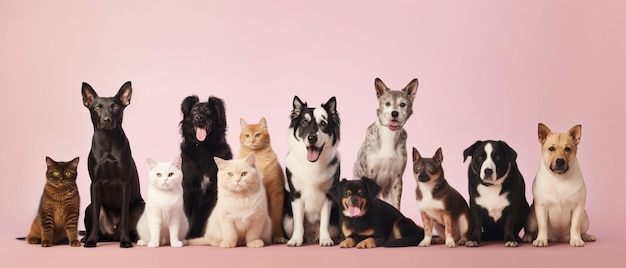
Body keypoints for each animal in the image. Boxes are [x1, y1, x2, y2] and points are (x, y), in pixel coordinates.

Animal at [79, 81, 144, 247]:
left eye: (115, 107)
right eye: (97, 108)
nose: (106, 120)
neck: (107, 141)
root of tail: (112, 235)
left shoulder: (125, 184)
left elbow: (124, 219)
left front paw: (125, 241)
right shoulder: (95, 184)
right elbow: (95, 220)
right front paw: (91, 241)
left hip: (142, 206)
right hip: (89, 207)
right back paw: (87, 238)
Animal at [178, 95, 232, 238]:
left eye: (208, 111)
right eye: (194, 111)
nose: (199, 118)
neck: (203, 147)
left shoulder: (215, 188)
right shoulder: (188, 186)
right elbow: (186, 213)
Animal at [284, 96, 342, 247]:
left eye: (323, 123)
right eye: (304, 122)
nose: (312, 138)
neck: (312, 164)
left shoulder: (328, 196)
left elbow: (324, 222)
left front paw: (325, 239)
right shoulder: (296, 196)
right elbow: (298, 222)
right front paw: (296, 239)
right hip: (286, 219)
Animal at [354, 77, 416, 209]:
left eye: (402, 104)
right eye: (387, 103)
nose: (394, 113)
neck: (389, 135)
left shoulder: (397, 179)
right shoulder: (369, 175)